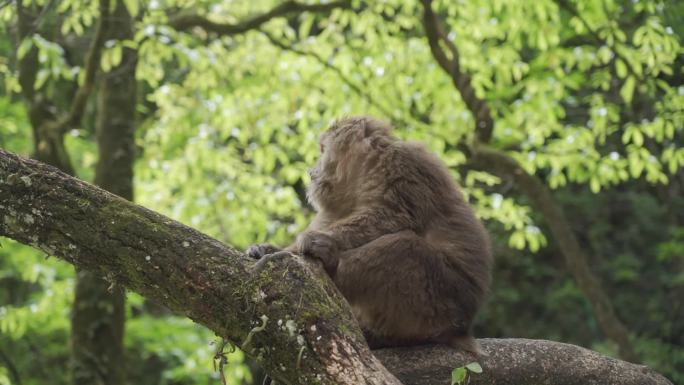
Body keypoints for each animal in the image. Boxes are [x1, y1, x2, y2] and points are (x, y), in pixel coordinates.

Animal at [246, 115, 492, 352]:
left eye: (323, 151)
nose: (311, 171)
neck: (366, 172)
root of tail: (462, 328)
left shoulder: (401, 163)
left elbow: (394, 215)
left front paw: (317, 242)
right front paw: (269, 248)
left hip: (441, 301)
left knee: (407, 250)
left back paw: (331, 265)